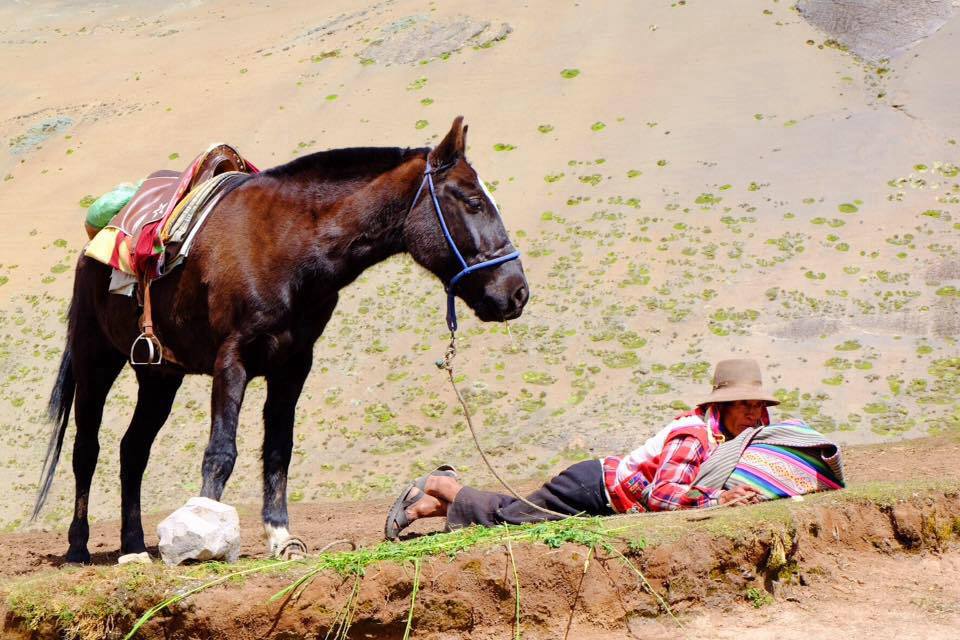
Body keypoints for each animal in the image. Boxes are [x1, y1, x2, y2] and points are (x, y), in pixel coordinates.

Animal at [33, 117, 528, 564]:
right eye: (472, 200)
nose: (517, 291)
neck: (288, 244)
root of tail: (92, 246)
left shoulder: (292, 365)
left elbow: (278, 450)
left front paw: (280, 537)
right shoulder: (231, 359)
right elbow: (221, 450)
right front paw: (204, 533)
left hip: (159, 376)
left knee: (132, 450)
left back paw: (134, 546)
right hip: (95, 360)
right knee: (86, 450)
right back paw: (78, 548)